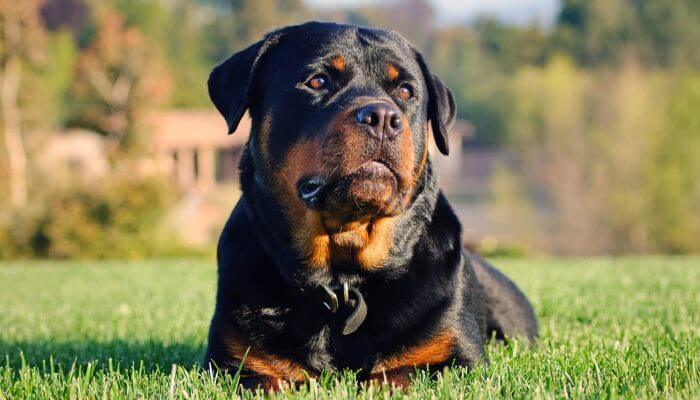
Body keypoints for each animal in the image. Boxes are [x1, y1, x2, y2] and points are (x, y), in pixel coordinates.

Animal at [205, 21, 540, 390]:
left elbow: (396, 375)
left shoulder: (455, 360)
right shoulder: (237, 366)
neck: (344, 279)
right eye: (317, 81)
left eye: (406, 91)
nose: (382, 116)